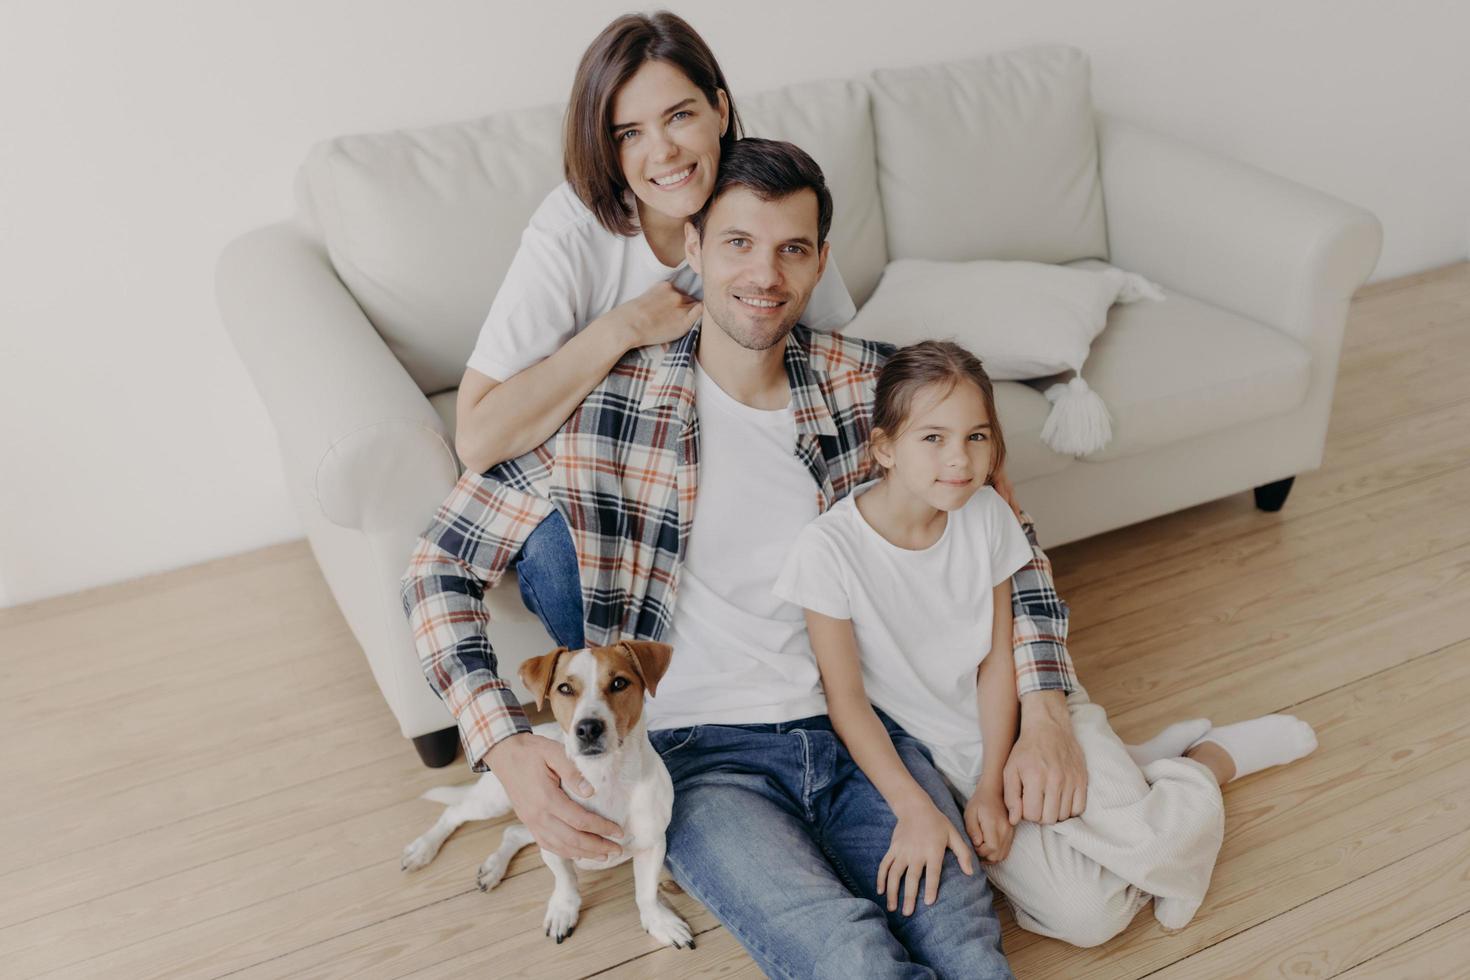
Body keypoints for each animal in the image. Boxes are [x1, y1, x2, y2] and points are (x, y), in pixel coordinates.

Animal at [399, 643, 690, 952]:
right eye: (565, 688)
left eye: (619, 683)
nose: (588, 728)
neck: (604, 777)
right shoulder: (554, 841)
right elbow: (566, 881)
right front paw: (564, 910)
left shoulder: (652, 845)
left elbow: (646, 893)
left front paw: (659, 922)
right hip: (497, 802)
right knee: (454, 812)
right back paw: (423, 849)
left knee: (512, 831)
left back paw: (494, 866)